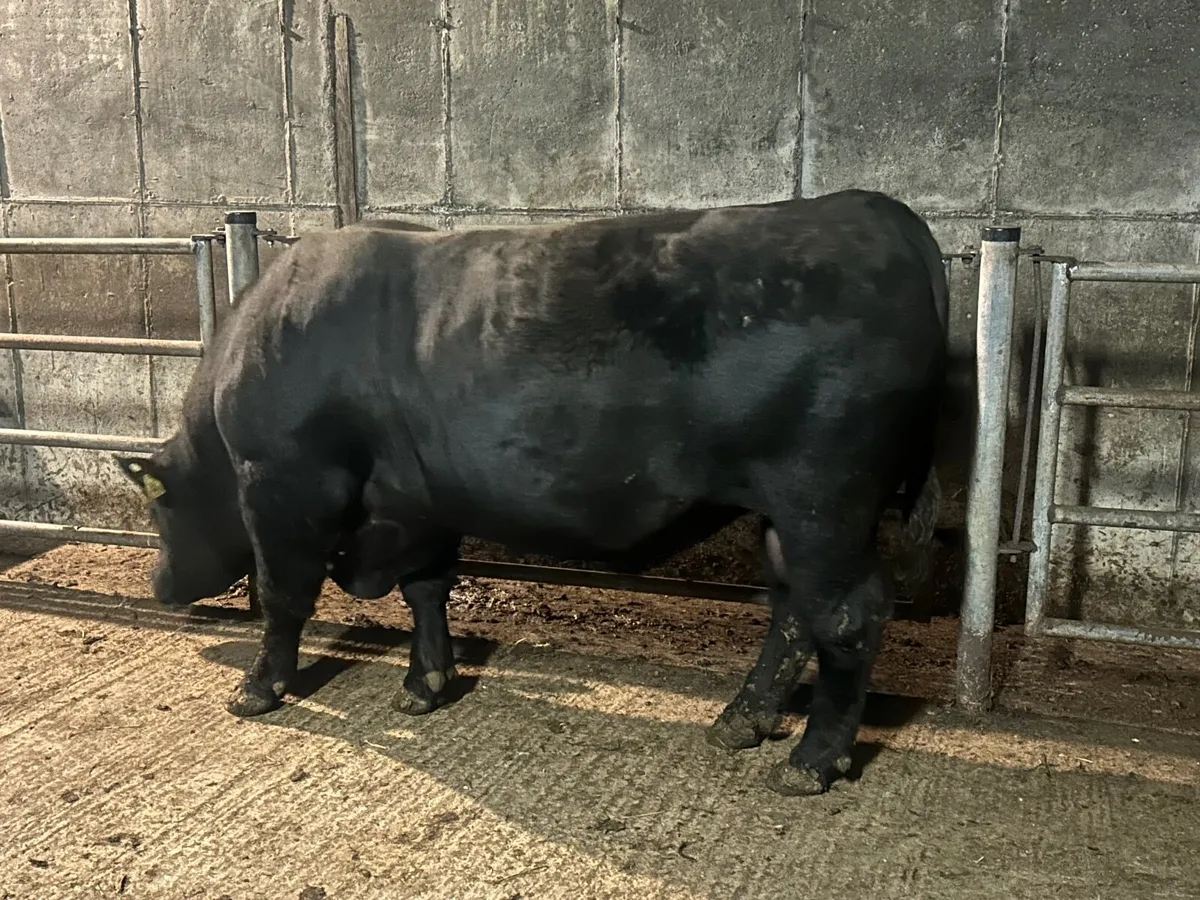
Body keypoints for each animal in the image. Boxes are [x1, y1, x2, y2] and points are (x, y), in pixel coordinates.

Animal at [117, 189, 947, 796]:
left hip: (824, 501)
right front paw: (427, 682)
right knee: (793, 611)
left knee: (846, 615)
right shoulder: (418, 500)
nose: (158, 586)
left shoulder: (284, 483)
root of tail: (868, 207)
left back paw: (812, 761)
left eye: (158, 507)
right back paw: (743, 719)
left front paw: (260, 687)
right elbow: (428, 588)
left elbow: (283, 594)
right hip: (786, 515)